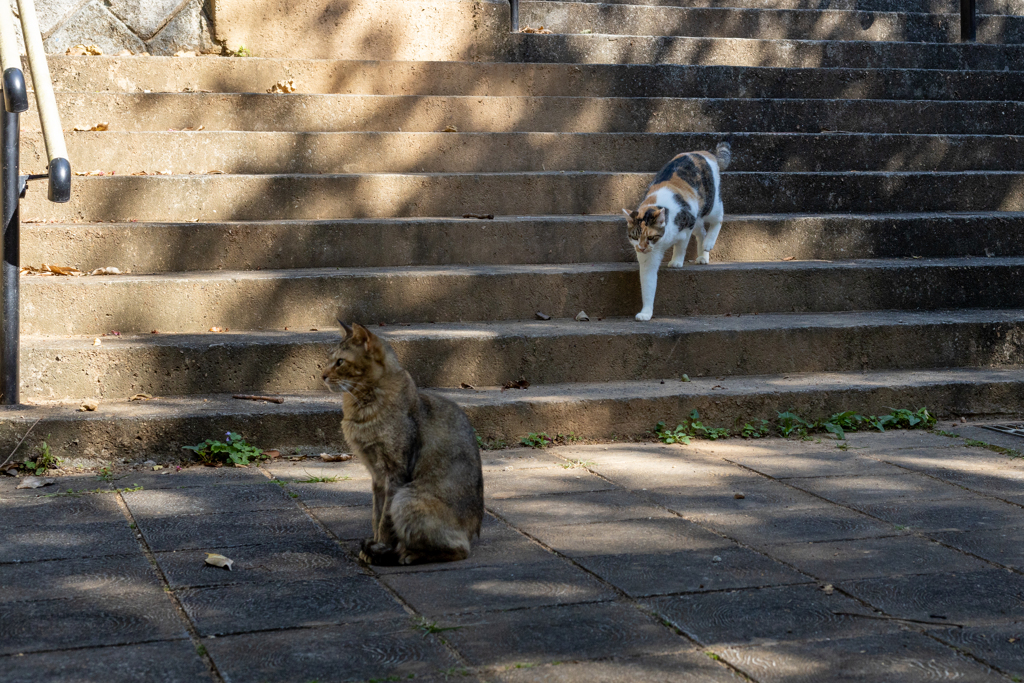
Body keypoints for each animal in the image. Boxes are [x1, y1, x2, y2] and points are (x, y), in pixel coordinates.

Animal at [323, 321, 483, 565]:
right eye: (329, 359)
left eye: (340, 362)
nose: (322, 375)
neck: (360, 408)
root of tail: (473, 531)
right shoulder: (377, 476)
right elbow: (376, 515)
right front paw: (375, 547)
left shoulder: (394, 472)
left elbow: (385, 520)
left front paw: (381, 547)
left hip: (407, 498)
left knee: (460, 550)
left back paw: (407, 554)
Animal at [618, 140, 733, 321]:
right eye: (634, 237)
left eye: (650, 237)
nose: (641, 248)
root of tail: (702, 152)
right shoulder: (648, 258)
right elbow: (648, 284)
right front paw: (646, 312)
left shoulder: (686, 227)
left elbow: (681, 246)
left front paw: (677, 261)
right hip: (697, 218)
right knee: (701, 233)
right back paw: (702, 256)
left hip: (709, 205)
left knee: (718, 218)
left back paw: (709, 244)